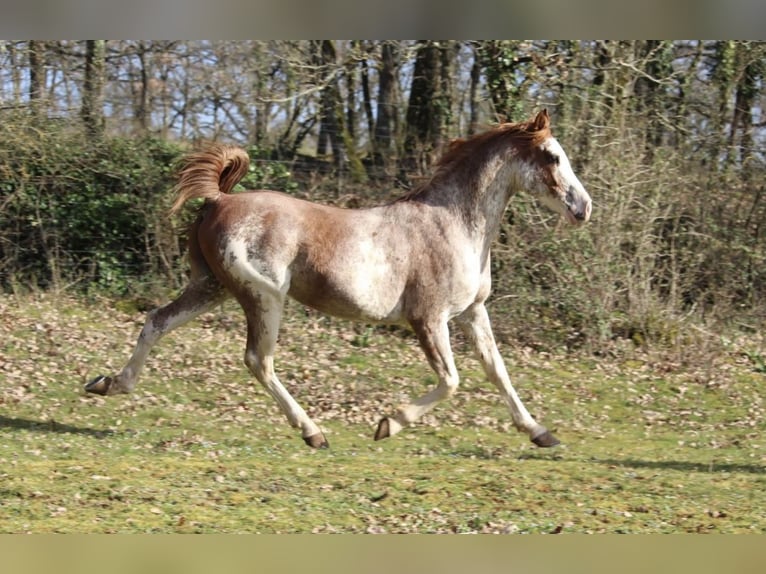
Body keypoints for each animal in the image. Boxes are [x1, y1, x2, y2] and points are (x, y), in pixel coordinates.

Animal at [88, 108, 592, 450]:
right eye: (552, 156)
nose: (583, 208)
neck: (452, 224)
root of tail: (219, 199)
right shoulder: (429, 319)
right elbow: (452, 380)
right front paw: (388, 423)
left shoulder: (472, 313)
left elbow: (497, 371)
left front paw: (540, 433)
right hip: (263, 297)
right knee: (258, 360)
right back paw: (313, 432)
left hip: (211, 288)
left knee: (157, 321)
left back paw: (109, 384)